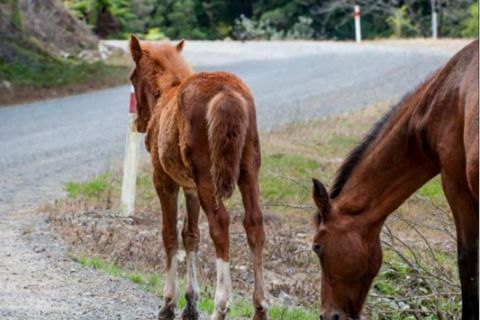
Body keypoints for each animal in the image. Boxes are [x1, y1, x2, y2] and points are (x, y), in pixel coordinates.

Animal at [129, 35, 268, 320]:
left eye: (131, 77)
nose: (140, 123)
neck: (165, 93)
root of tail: (227, 94)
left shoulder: (164, 181)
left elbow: (169, 234)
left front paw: (168, 304)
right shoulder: (189, 186)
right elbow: (190, 234)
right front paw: (191, 304)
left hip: (208, 176)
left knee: (220, 224)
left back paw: (220, 305)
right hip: (249, 168)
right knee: (254, 222)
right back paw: (259, 307)